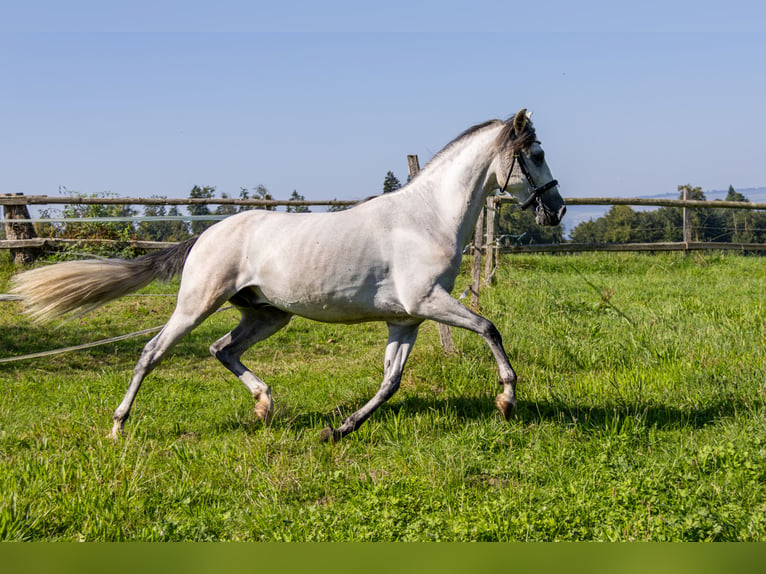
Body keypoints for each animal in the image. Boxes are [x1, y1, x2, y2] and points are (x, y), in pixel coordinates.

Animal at [9, 109, 568, 440]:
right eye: (536, 155)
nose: (557, 210)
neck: (426, 218)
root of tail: (205, 236)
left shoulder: (405, 319)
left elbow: (390, 381)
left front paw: (339, 430)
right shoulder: (428, 302)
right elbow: (489, 328)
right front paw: (506, 400)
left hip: (269, 314)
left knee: (222, 349)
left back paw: (264, 406)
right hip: (197, 305)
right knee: (152, 352)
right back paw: (119, 427)